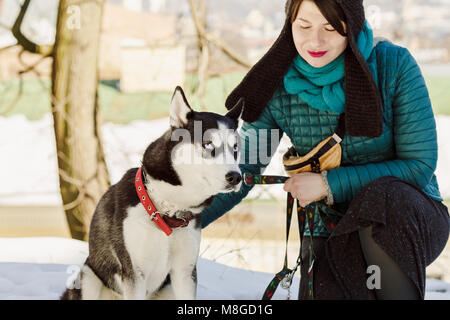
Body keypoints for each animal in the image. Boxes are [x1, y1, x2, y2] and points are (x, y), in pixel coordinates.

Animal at [62, 86, 244, 298]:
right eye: (208, 144)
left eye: (235, 148)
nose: (236, 177)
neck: (167, 212)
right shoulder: (134, 272)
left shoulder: (184, 272)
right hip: (88, 277)